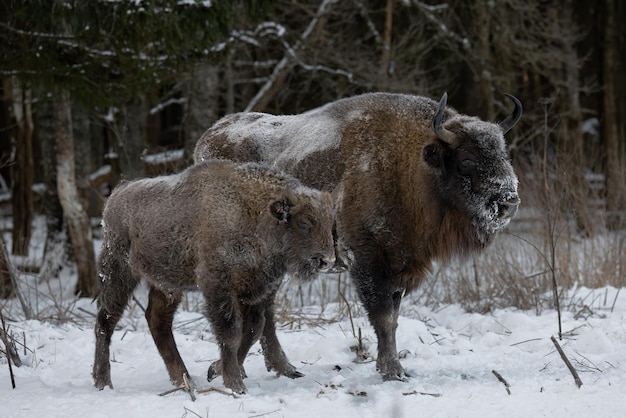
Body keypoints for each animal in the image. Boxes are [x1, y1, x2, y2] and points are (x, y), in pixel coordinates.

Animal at [92, 158, 334, 394]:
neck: (252, 210)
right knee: (106, 321)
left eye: (329, 222)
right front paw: (235, 385)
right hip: (119, 273)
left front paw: (215, 370)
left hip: (168, 285)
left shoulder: (255, 290)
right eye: (303, 222)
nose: (327, 260)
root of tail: (115, 197)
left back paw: (184, 381)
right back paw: (103, 382)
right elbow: (231, 333)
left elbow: (253, 330)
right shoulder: (218, 286)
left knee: (158, 322)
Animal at [193, 91, 520, 382]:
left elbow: (394, 318)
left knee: (264, 313)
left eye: (503, 153)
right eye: (466, 158)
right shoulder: (368, 261)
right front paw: (392, 371)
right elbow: (383, 318)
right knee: (260, 313)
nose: (509, 200)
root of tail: (208, 138)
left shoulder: (399, 266)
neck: (407, 164)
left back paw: (281, 369)